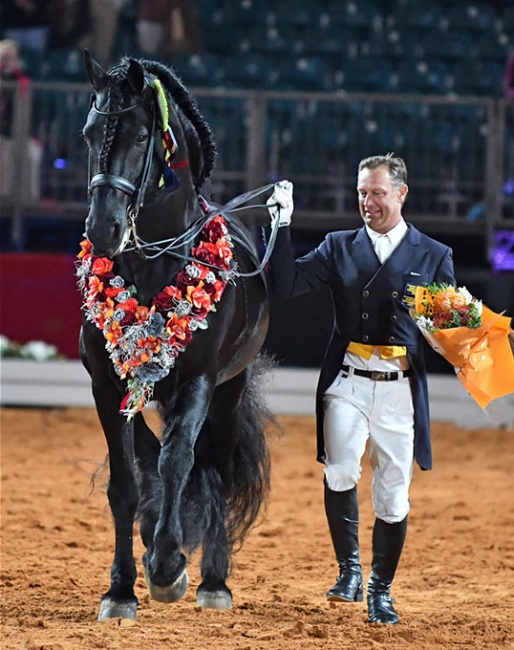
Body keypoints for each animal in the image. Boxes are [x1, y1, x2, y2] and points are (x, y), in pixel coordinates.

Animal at [77, 50, 272, 616]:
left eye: (142, 136)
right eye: (89, 132)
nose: (103, 229)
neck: (153, 265)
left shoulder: (199, 382)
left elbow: (178, 460)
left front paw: (167, 569)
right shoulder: (107, 385)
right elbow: (126, 480)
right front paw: (121, 589)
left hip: (228, 392)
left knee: (214, 470)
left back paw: (213, 581)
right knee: (152, 456)